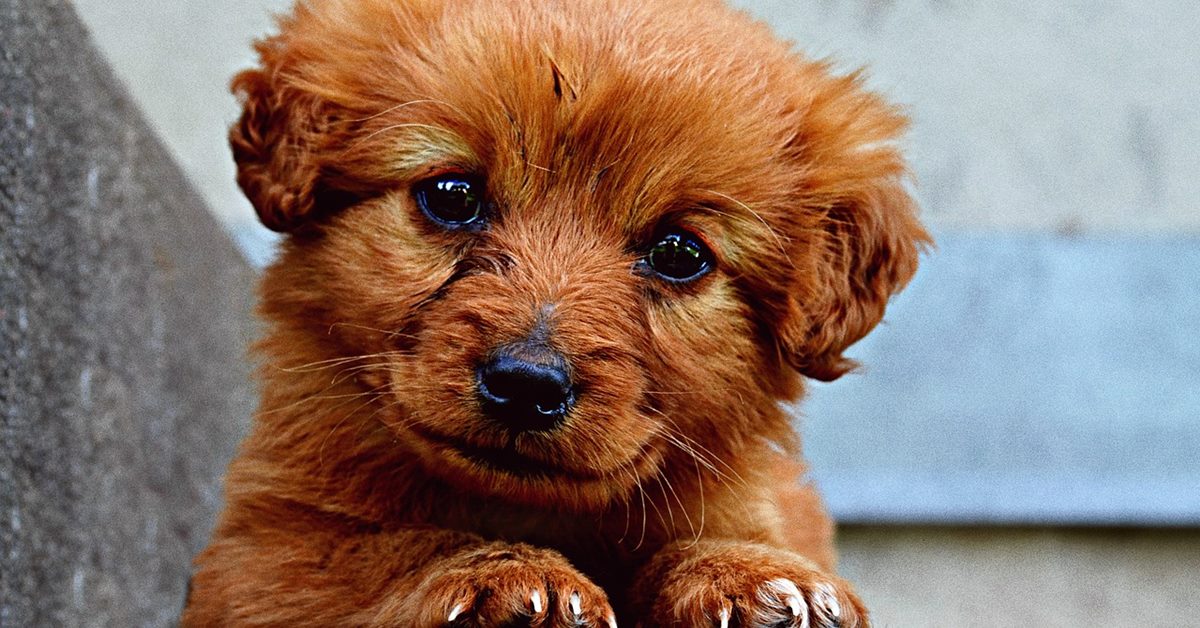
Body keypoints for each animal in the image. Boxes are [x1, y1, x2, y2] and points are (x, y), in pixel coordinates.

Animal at [182, 1, 926, 624]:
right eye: (452, 196)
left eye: (679, 252)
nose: (526, 384)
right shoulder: (258, 555)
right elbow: (387, 549)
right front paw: (506, 576)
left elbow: (715, 538)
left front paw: (752, 576)